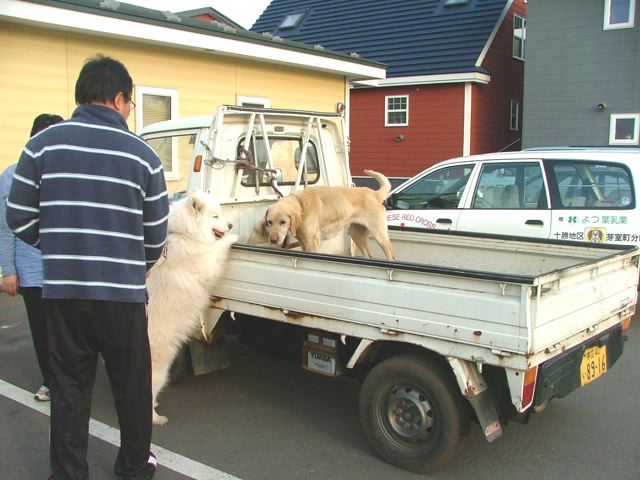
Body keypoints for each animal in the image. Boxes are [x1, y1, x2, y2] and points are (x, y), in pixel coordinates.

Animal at [146, 189, 239, 426]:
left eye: (221, 213)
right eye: (215, 216)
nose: (232, 225)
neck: (185, 235)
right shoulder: (205, 264)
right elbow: (217, 248)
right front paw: (233, 238)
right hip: (158, 371)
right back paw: (157, 418)